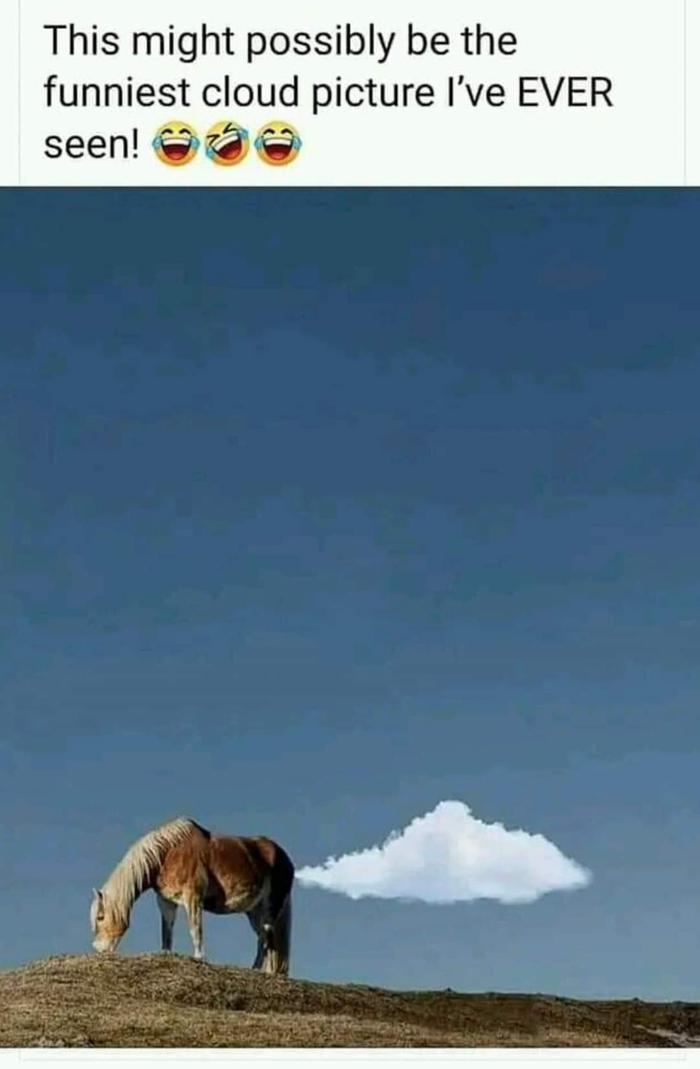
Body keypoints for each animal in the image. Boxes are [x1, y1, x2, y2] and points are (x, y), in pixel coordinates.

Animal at [89, 817, 294, 975]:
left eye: (100, 917)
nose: (99, 949)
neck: (167, 853)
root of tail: (285, 858)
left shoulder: (193, 897)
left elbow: (195, 929)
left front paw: (199, 958)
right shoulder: (166, 901)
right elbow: (167, 932)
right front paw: (166, 954)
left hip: (270, 908)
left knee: (267, 939)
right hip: (253, 911)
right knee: (262, 938)